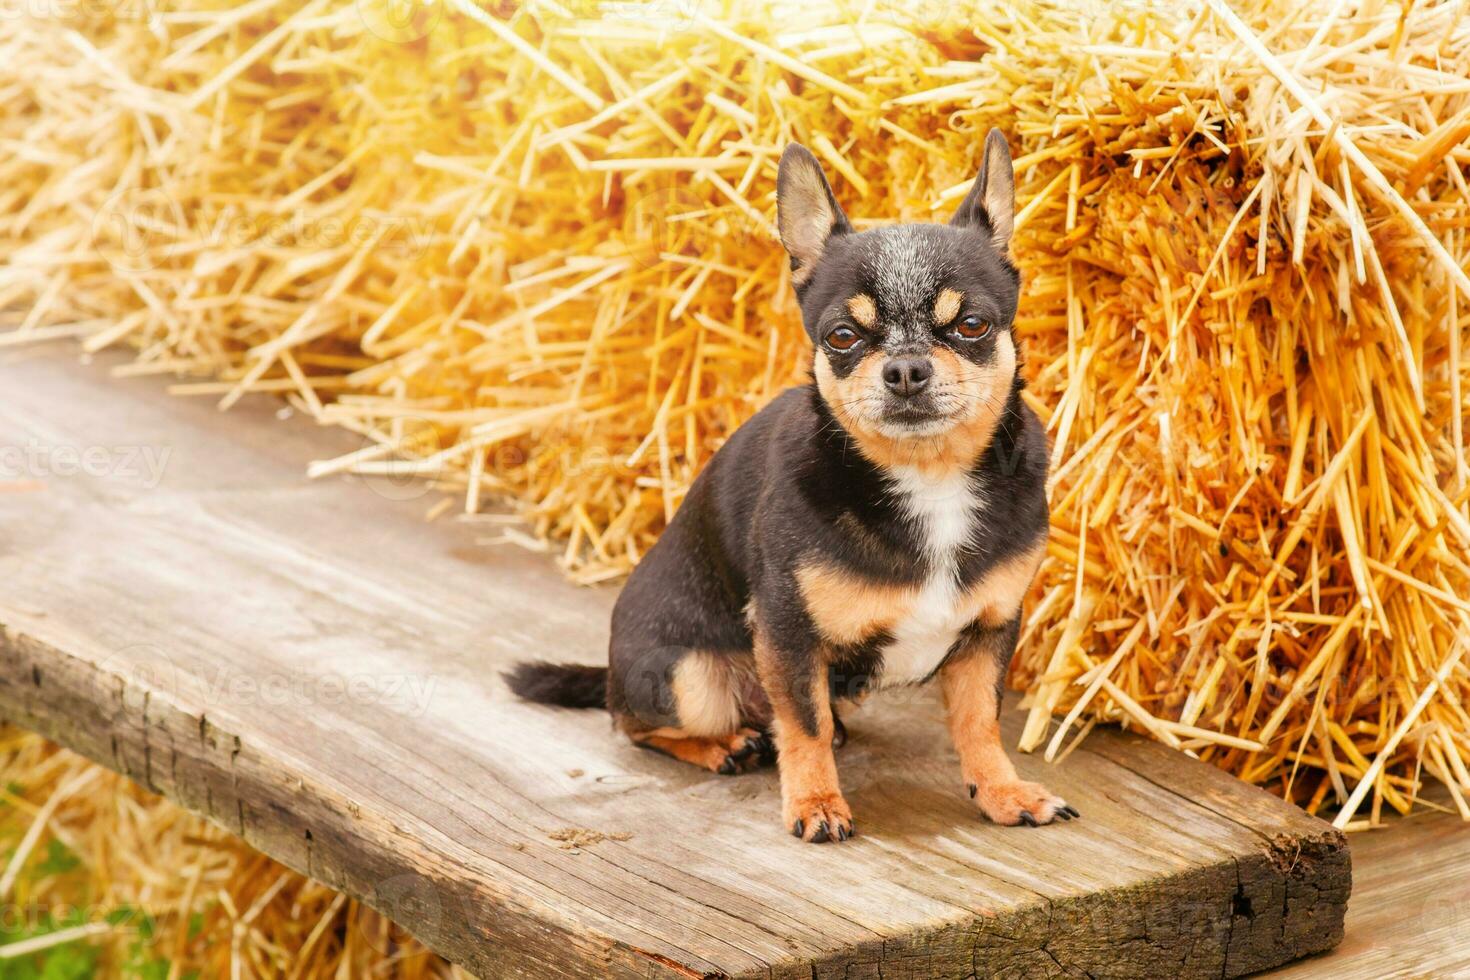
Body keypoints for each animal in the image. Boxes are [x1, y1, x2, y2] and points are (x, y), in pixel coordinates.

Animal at [505, 130, 1070, 846]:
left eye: (971, 326)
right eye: (843, 336)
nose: (905, 369)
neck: (928, 475)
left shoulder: (989, 633)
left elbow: (978, 723)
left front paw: (1002, 792)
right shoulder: (788, 633)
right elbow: (805, 725)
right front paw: (816, 802)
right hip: (690, 677)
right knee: (637, 725)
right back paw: (725, 745)